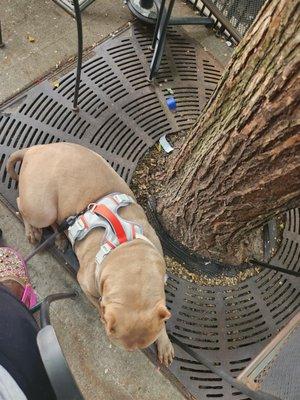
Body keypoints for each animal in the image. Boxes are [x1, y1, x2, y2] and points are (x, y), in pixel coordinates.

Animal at [7, 143, 175, 366]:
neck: (127, 248)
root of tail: (33, 150)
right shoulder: (86, 284)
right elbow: (98, 304)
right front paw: (102, 315)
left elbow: (162, 317)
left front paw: (164, 342)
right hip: (42, 209)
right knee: (22, 204)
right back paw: (33, 231)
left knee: (58, 222)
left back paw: (61, 238)